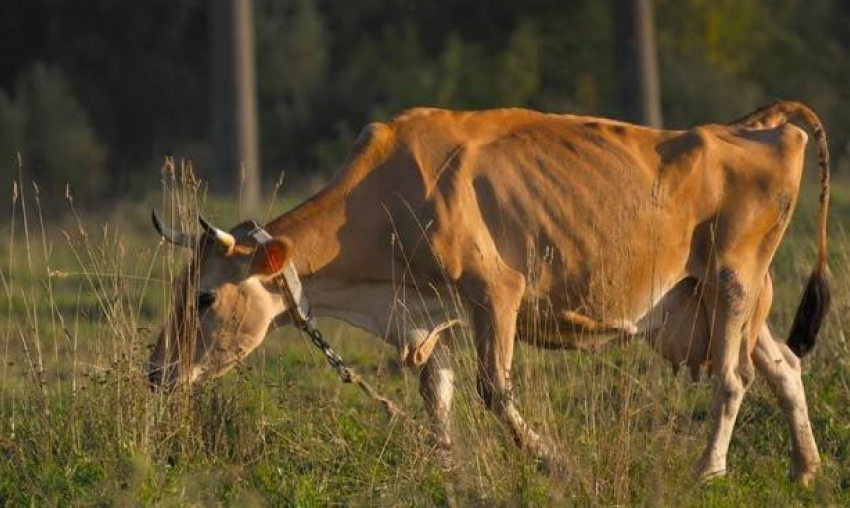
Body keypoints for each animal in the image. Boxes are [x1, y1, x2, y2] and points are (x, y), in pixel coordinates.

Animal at [147, 100, 828, 484]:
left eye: (205, 298)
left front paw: (552, 461)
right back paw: (805, 469)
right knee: (784, 366)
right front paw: (445, 466)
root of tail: (756, 128)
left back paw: (709, 470)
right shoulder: (429, 313)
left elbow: (492, 389)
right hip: (714, 301)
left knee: (734, 378)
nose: (156, 370)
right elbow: (437, 395)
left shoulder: (495, 291)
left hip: (734, 280)